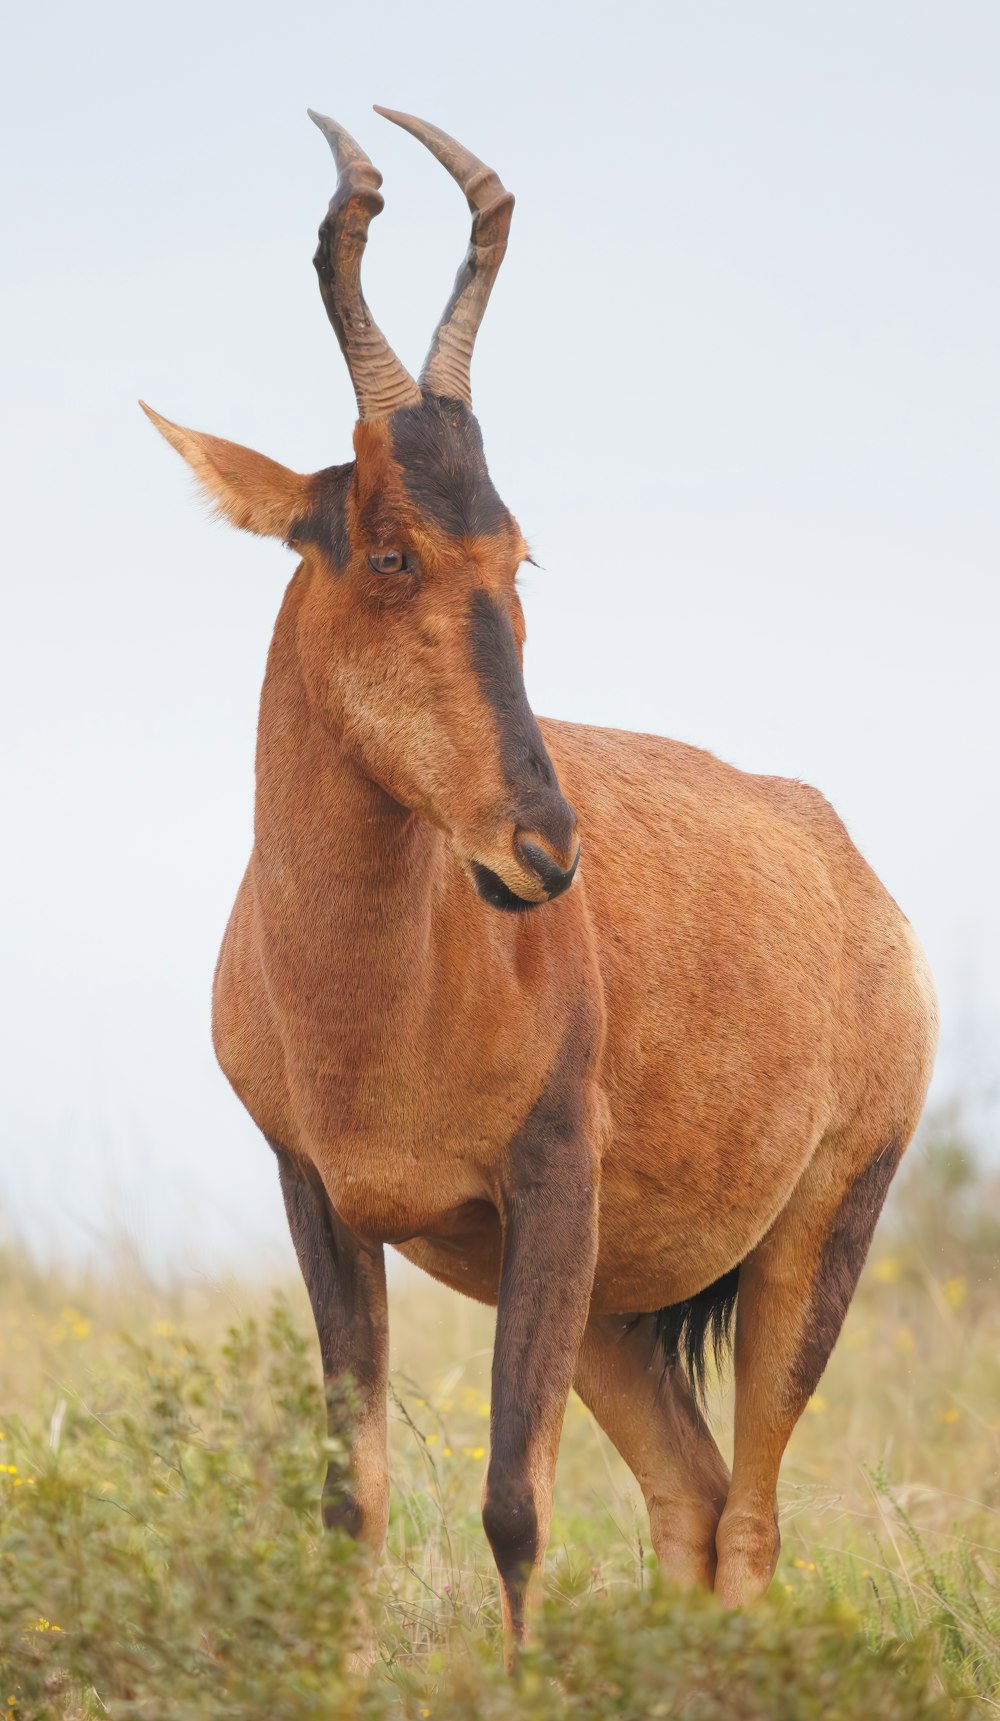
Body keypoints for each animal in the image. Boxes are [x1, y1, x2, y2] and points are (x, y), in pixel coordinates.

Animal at [140, 111, 936, 1665]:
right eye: (392, 547)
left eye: (517, 551)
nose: (547, 853)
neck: (378, 984)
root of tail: (851, 868)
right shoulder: (321, 1195)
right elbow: (354, 1502)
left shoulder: (551, 1176)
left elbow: (515, 1503)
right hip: (614, 1308)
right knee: (690, 1498)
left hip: (815, 1235)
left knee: (750, 1521)